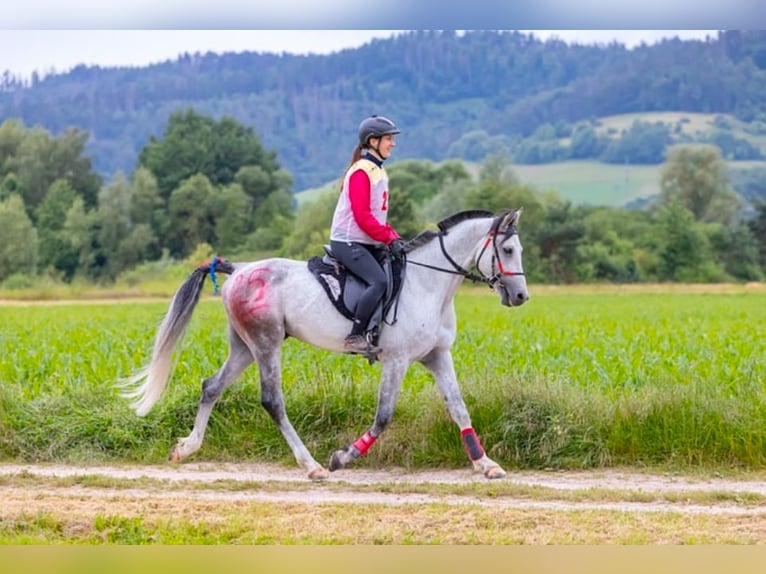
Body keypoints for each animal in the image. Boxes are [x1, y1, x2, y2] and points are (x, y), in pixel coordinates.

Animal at [123, 210, 532, 482]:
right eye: (508, 249)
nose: (521, 296)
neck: (428, 284)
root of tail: (239, 269)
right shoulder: (396, 360)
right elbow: (384, 417)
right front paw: (342, 457)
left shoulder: (436, 356)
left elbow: (459, 408)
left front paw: (486, 464)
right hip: (266, 342)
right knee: (272, 401)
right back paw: (313, 465)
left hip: (243, 346)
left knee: (211, 387)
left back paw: (187, 448)